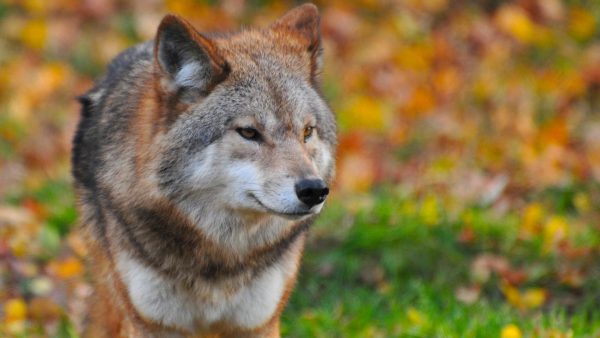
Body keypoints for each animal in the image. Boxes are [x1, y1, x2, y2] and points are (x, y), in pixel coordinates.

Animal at [70, 3, 338, 338]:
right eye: (249, 132)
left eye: (307, 132)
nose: (314, 190)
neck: (221, 257)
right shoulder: (151, 323)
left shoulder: (258, 323)